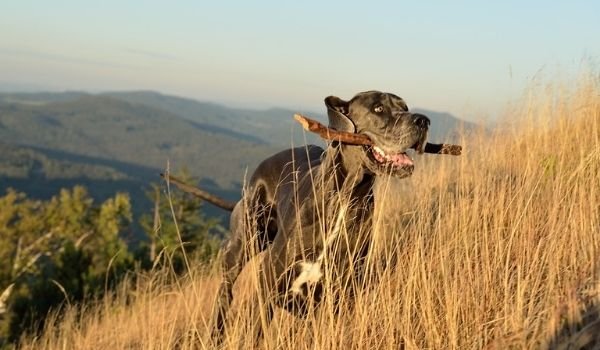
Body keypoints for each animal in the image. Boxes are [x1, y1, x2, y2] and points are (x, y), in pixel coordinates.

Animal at [209, 91, 428, 344]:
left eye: (405, 107)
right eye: (378, 108)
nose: (423, 121)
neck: (347, 196)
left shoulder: (339, 295)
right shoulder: (269, 280)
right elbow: (255, 331)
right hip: (243, 244)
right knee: (225, 292)